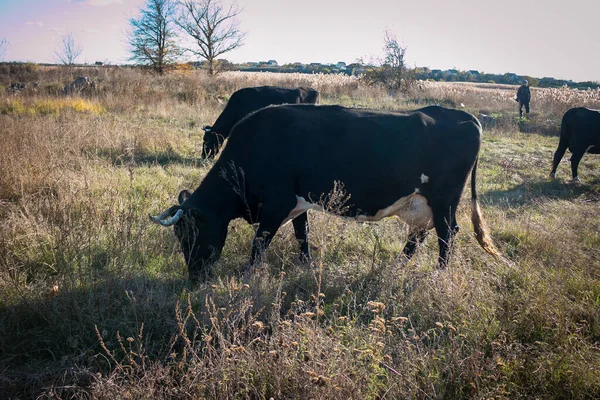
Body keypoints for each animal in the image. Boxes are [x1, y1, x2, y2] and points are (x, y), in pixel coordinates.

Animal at [151, 104, 502, 282]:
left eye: (191, 232)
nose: (194, 276)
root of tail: (465, 115)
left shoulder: (277, 202)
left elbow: (260, 242)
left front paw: (247, 275)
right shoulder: (297, 203)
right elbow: (302, 236)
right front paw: (305, 266)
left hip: (444, 201)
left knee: (447, 234)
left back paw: (439, 275)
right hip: (422, 203)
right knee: (419, 235)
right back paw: (396, 268)